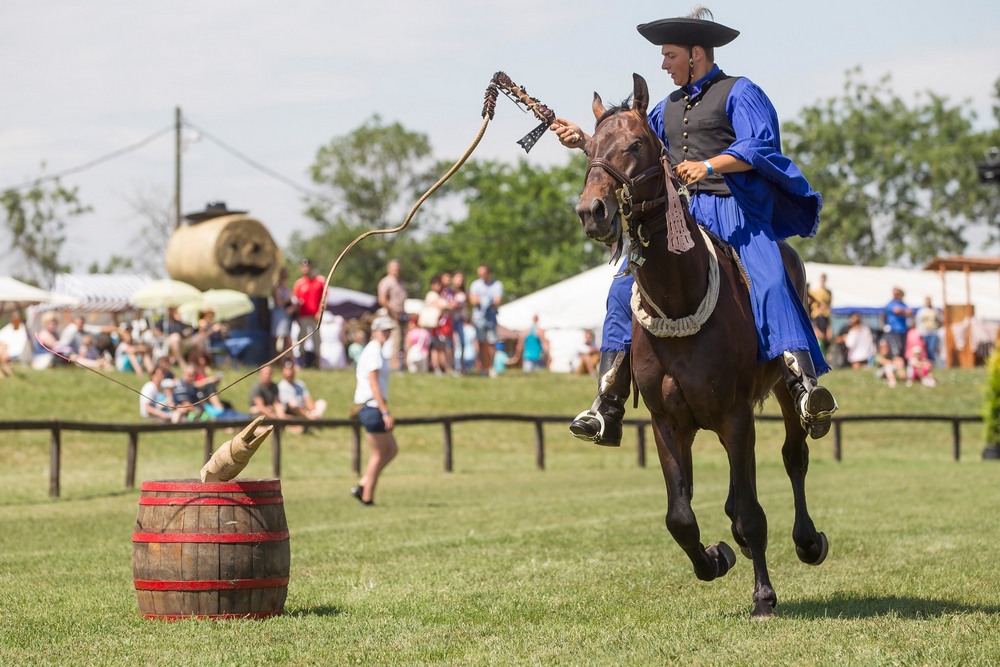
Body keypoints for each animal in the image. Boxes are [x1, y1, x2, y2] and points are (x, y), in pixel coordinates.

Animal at [580, 73, 828, 620]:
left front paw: (763, 596)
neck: (681, 297)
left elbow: (753, 513)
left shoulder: (735, 415)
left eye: (636, 144)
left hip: (782, 390)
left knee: (793, 456)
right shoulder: (668, 422)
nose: (592, 211)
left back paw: (807, 540)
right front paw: (715, 559)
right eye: (588, 147)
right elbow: (680, 515)